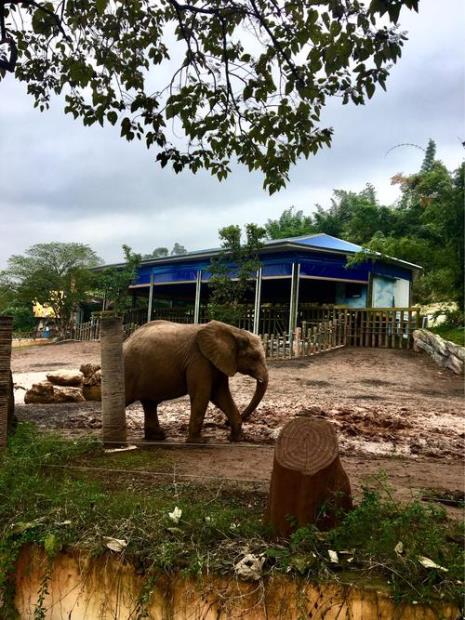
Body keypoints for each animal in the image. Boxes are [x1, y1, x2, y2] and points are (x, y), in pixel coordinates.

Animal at [123, 320, 268, 440]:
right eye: (254, 357)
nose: (224, 423)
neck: (233, 330)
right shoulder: (199, 359)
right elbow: (203, 394)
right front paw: (199, 441)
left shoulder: (218, 361)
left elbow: (220, 395)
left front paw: (234, 439)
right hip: (129, 370)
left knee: (149, 403)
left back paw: (158, 437)